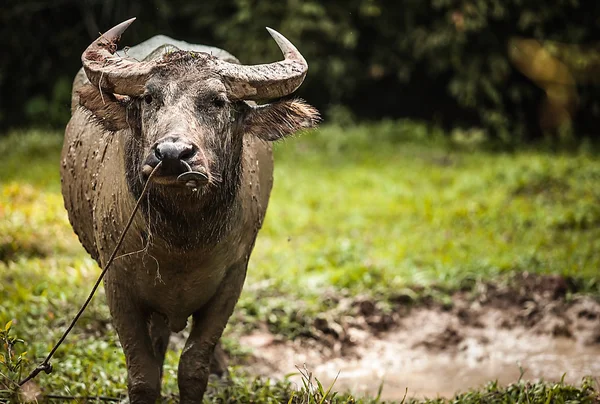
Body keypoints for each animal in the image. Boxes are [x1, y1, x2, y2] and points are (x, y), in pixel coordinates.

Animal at [62, 19, 318, 404]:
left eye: (217, 101)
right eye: (149, 98)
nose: (172, 154)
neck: (182, 239)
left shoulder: (231, 281)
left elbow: (193, 367)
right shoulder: (116, 283)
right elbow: (143, 375)